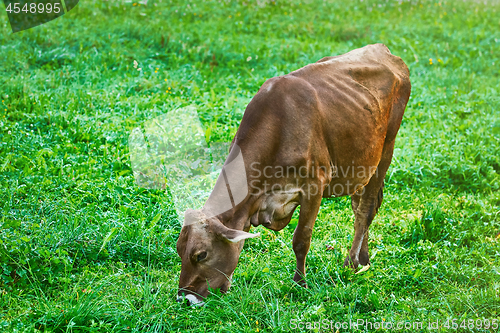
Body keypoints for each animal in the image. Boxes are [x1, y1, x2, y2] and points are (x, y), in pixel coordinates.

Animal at [176, 43, 410, 304]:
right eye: (178, 250)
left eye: (201, 254)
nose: (184, 298)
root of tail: (383, 50)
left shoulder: (314, 186)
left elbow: (301, 239)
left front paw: (301, 284)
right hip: (361, 162)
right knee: (358, 205)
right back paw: (363, 258)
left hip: (386, 149)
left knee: (365, 210)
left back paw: (351, 263)